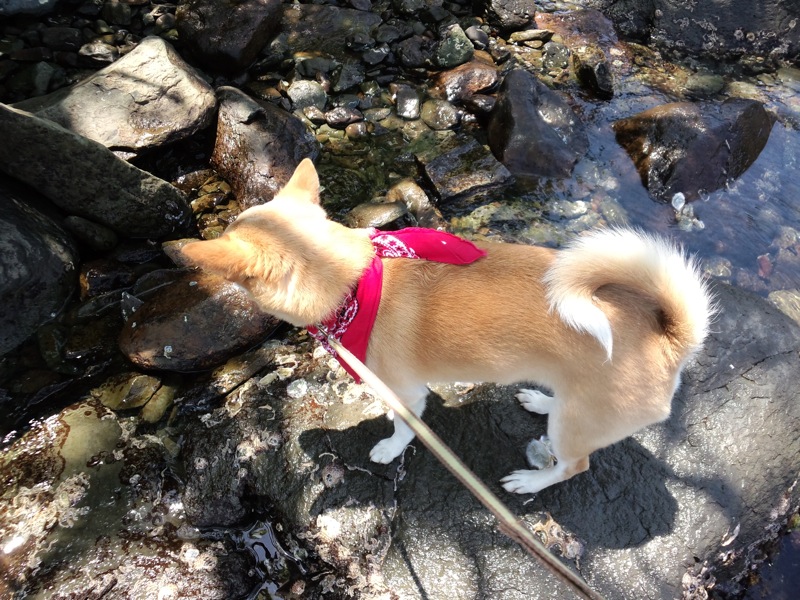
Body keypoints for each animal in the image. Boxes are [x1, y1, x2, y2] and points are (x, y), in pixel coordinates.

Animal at [181, 158, 714, 494]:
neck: (356, 284)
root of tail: (671, 339)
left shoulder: (404, 394)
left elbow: (403, 427)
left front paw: (389, 448)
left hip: (579, 428)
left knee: (573, 465)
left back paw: (532, 480)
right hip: (576, 406)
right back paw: (541, 399)